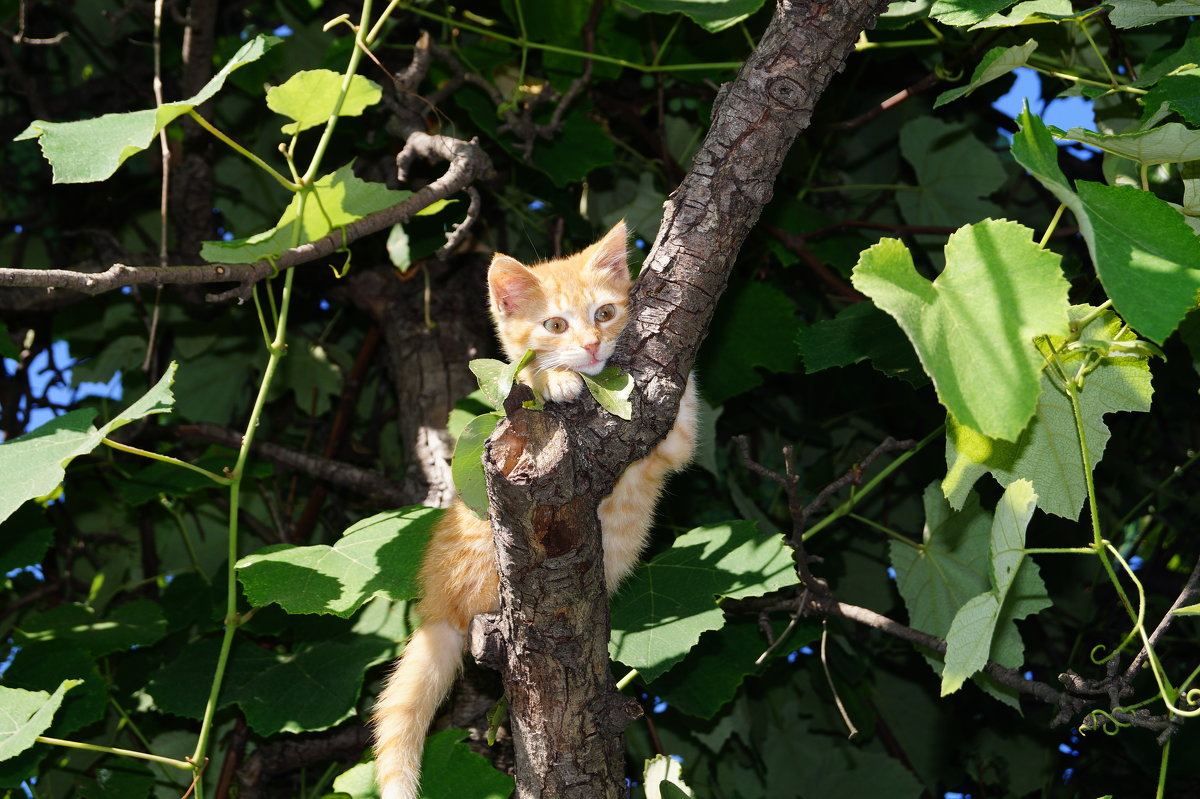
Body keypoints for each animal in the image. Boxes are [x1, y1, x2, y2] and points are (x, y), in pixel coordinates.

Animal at [369, 219, 700, 796]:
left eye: (604, 313)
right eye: (555, 324)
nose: (592, 345)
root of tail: (436, 605)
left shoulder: (671, 449)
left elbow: (684, 423)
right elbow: (525, 380)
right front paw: (556, 377)